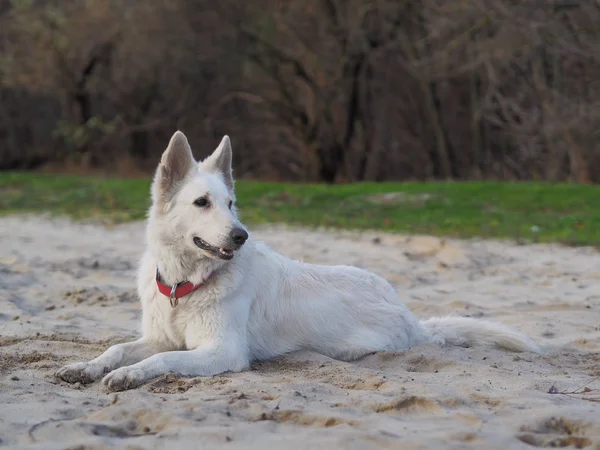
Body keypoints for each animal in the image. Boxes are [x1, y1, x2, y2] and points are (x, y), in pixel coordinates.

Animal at [55, 132, 540, 392]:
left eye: (231, 204)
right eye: (202, 203)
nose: (240, 235)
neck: (185, 284)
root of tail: (410, 316)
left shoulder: (221, 351)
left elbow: (159, 362)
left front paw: (128, 376)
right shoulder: (161, 337)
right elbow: (118, 349)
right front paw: (87, 367)